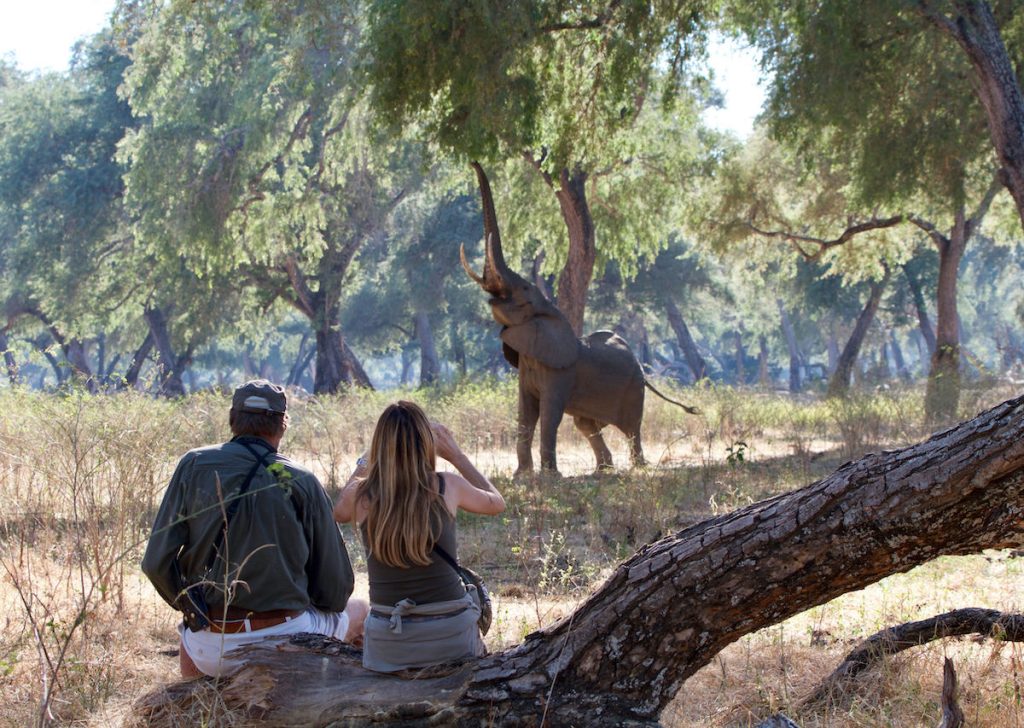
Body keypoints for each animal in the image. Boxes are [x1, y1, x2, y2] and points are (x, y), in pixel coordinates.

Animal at [460, 162, 700, 475]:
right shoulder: (527, 365)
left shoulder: (559, 373)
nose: (473, 162)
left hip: (634, 387)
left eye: (524, 292)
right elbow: (525, 413)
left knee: (631, 428)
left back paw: (638, 468)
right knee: (586, 425)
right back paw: (603, 470)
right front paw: (521, 476)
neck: (548, 315)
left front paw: (550, 476)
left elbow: (549, 414)